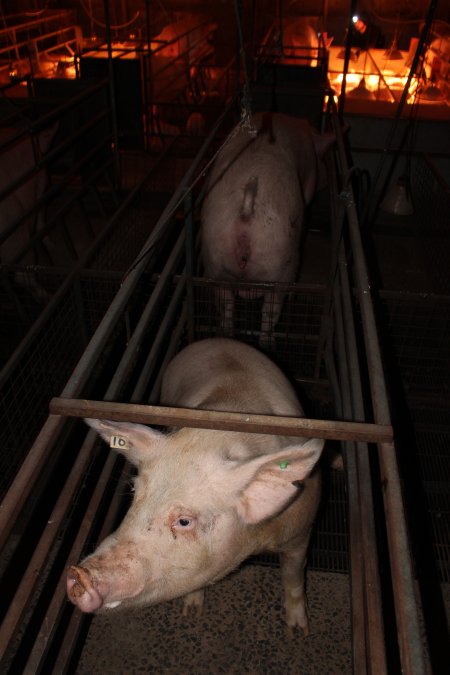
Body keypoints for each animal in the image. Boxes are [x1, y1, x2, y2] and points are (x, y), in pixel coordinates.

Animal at [67, 340, 324, 636]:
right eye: (134, 493)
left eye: (184, 521)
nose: (78, 575)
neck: (255, 539)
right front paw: (191, 614)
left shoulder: (301, 531)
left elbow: (293, 575)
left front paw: (299, 632)